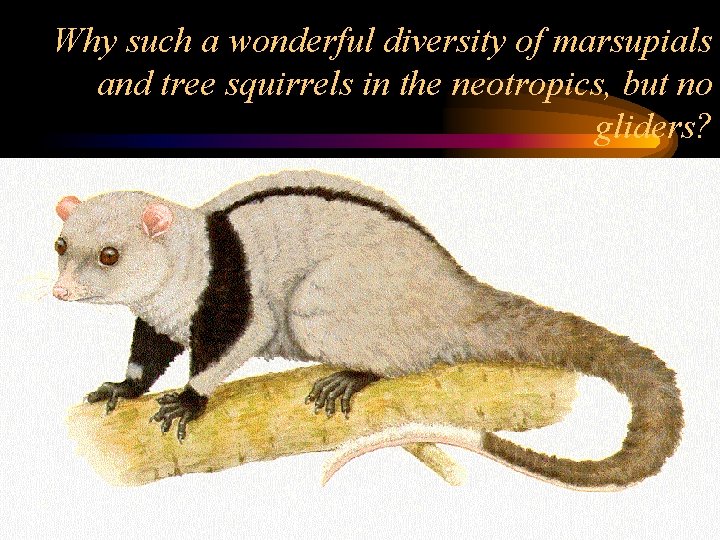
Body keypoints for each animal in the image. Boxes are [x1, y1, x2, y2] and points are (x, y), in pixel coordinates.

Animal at [53, 170, 683, 490]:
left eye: (109, 255)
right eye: (60, 245)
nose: (59, 293)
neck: (190, 259)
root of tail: (453, 292)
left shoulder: (231, 296)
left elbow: (245, 334)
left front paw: (188, 397)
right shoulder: (157, 313)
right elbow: (149, 347)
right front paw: (124, 386)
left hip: (338, 304)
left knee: (351, 333)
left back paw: (355, 375)